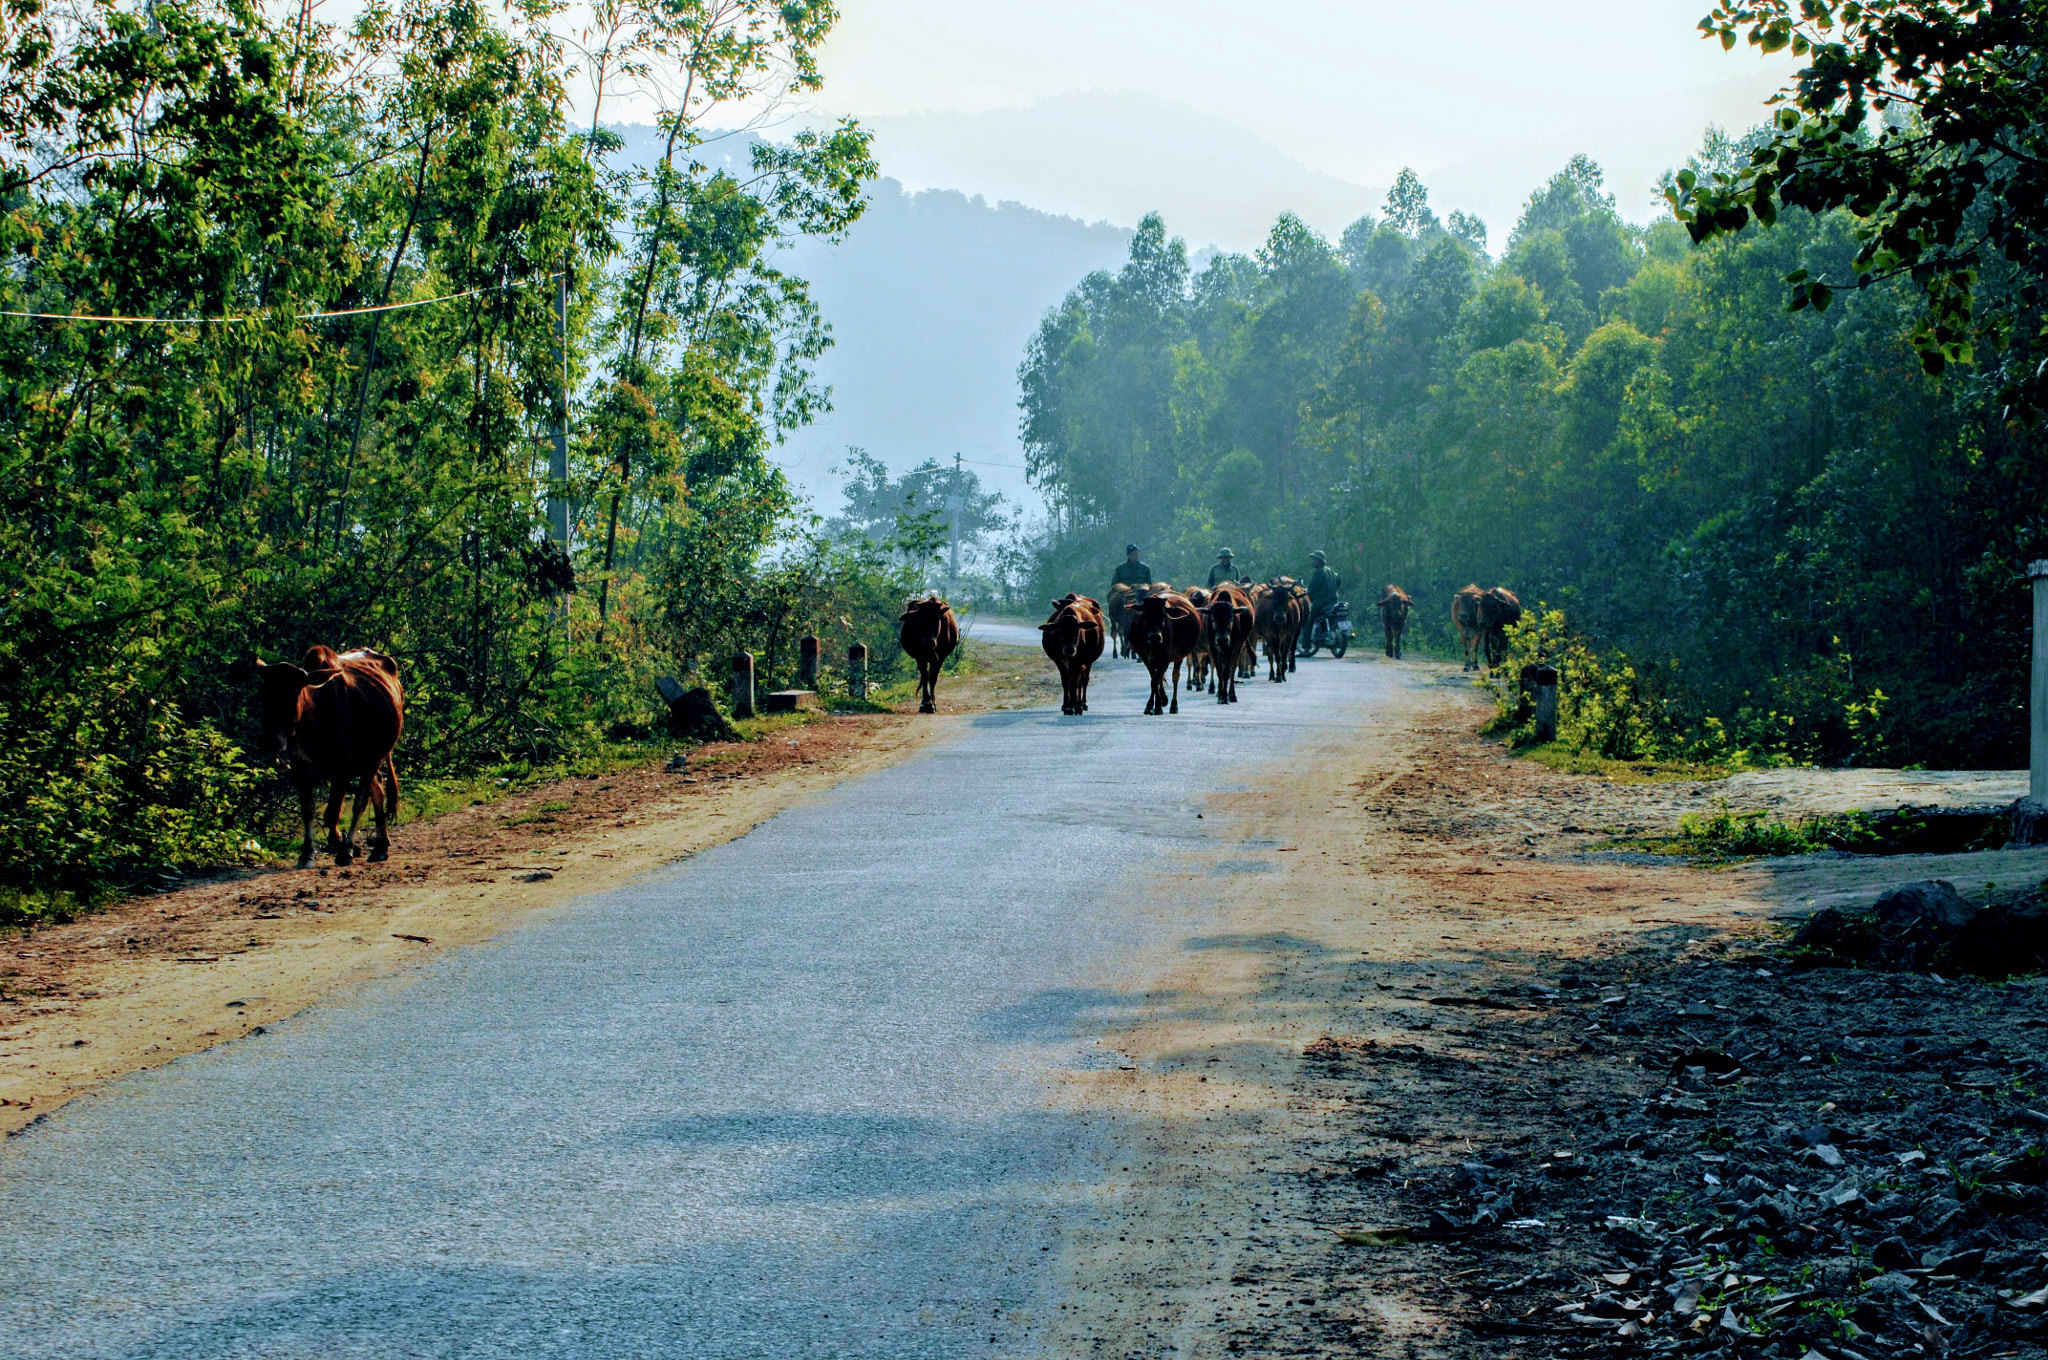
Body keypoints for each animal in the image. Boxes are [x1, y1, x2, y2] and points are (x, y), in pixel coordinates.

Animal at [258, 643, 405, 864]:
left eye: (294, 692)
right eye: (264, 693)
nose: (270, 740)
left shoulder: (342, 771)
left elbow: (332, 814)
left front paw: (345, 848)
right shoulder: (300, 769)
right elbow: (308, 810)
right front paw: (308, 852)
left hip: (376, 757)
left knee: (362, 801)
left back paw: (362, 847)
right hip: (368, 760)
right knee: (377, 789)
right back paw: (380, 846)